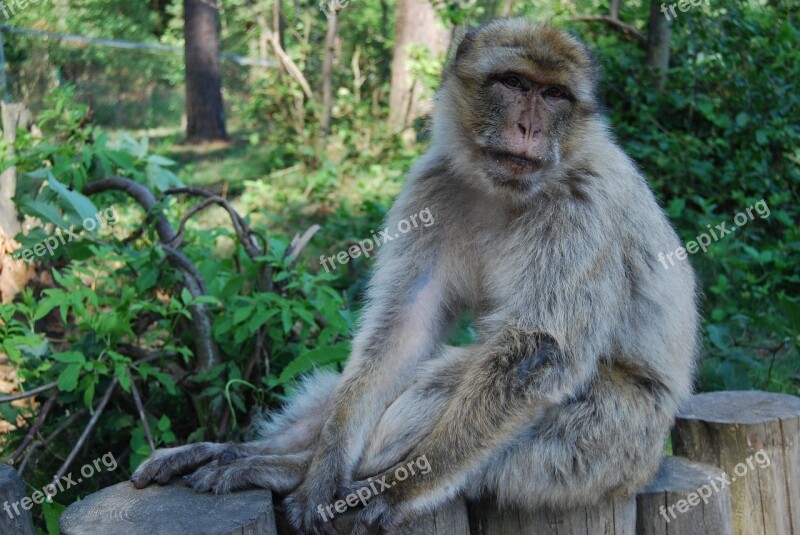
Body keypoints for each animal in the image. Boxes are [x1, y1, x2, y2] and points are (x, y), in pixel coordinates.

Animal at [133, 18, 700, 535]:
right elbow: (402, 330)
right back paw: (248, 454)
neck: (505, 190)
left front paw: (403, 487)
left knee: (455, 380)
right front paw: (323, 472)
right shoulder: (432, 184)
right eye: (515, 83)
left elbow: (538, 352)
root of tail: (650, 463)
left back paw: (297, 471)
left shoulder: (581, 207)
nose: (530, 129)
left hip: (603, 448)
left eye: (556, 94)